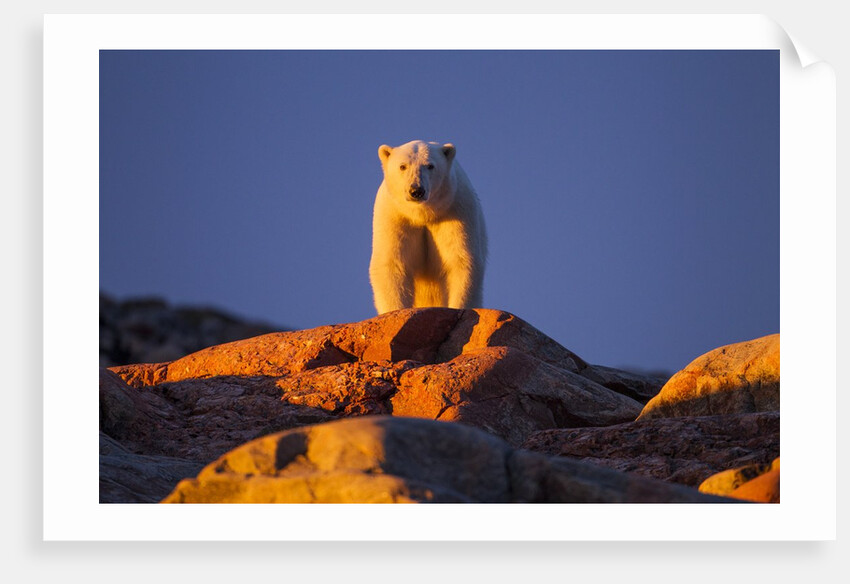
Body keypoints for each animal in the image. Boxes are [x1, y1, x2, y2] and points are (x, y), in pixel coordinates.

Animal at [369, 140, 488, 314]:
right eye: (403, 166)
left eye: (430, 166)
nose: (416, 190)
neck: (422, 214)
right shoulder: (395, 216)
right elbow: (392, 263)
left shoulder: (454, 210)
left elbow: (460, 261)